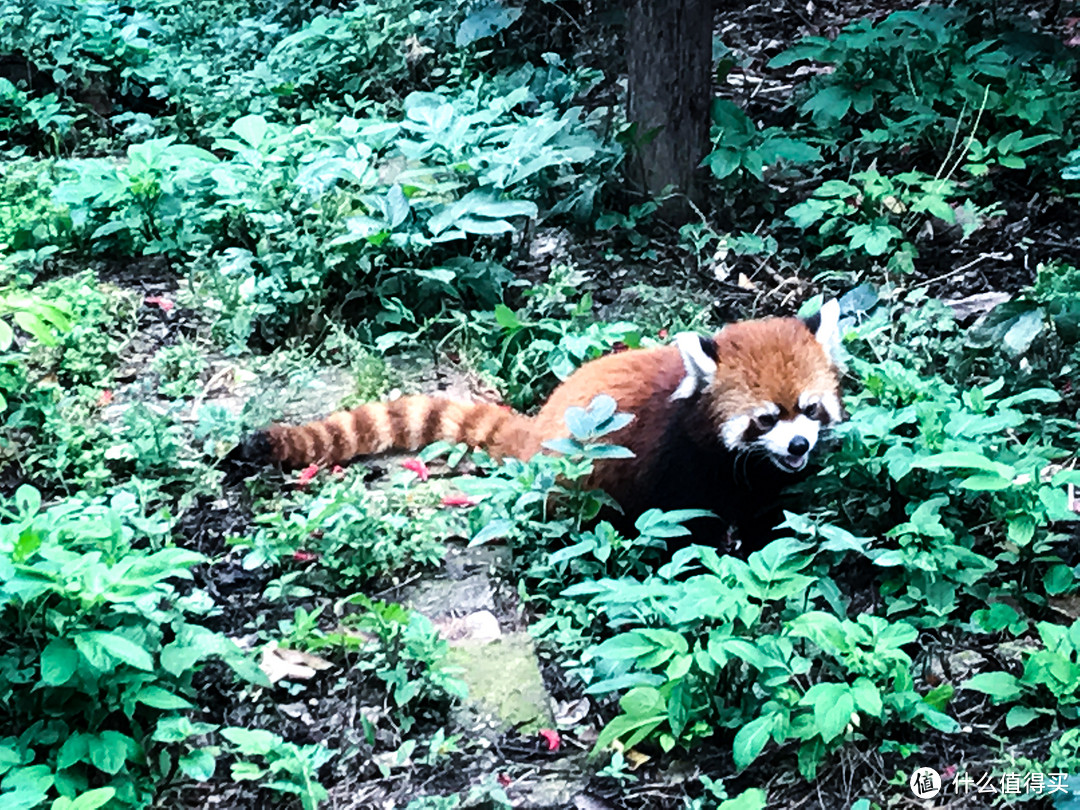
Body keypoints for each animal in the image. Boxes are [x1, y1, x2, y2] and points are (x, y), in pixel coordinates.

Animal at [243, 304, 842, 552]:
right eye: (765, 419)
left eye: (811, 410)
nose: (798, 445)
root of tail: (540, 428)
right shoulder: (677, 464)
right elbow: (682, 525)